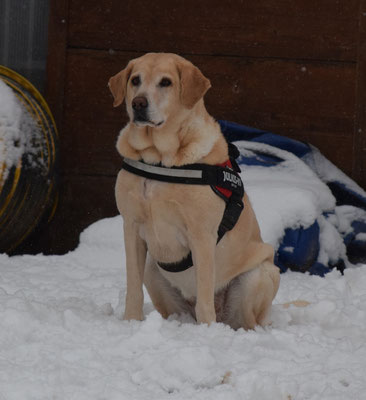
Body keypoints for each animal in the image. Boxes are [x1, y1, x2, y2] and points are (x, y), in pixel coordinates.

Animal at [108, 52, 280, 328]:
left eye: (165, 82)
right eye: (135, 80)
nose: (138, 103)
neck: (159, 158)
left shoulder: (202, 235)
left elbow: (205, 298)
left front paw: (207, 331)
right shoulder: (131, 227)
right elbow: (133, 290)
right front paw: (131, 322)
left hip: (258, 275)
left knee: (246, 321)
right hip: (153, 270)